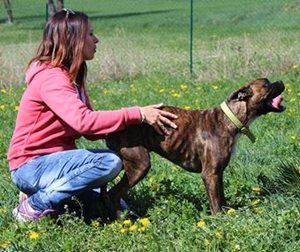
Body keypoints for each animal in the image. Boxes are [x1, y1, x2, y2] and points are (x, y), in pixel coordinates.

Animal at [104, 79, 284, 217]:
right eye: (266, 84)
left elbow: (221, 199)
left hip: (125, 163)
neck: (230, 119)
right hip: (140, 165)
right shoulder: (210, 174)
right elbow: (216, 205)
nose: (281, 81)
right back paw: (123, 220)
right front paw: (221, 222)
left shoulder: (217, 174)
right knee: (113, 193)